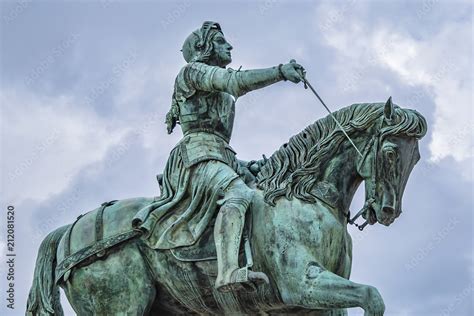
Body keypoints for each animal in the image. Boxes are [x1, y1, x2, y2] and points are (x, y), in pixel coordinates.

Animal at [26, 99, 426, 316]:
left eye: (417, 157)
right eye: (391, 152)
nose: (388, 211)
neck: (305, 196)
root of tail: (72, 228)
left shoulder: (318, 304)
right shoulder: (301, 284)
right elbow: (372, 296)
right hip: (120, 304)